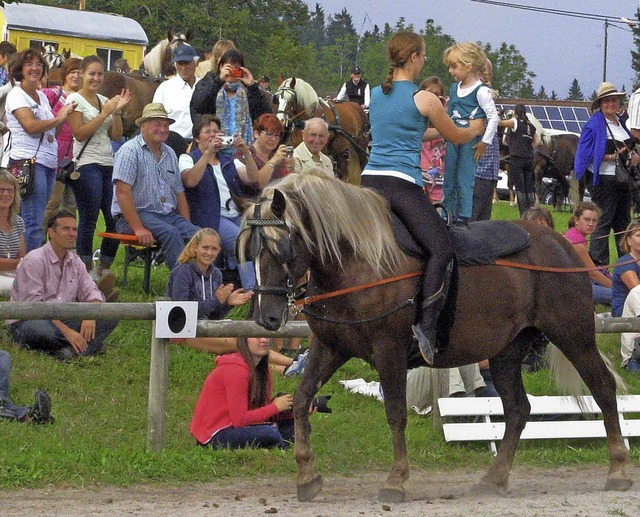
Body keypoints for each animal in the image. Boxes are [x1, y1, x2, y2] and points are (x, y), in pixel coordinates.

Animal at [242, 171, 632, 502]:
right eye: (250, 251)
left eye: (281, 247)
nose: (267, 316)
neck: (358, 263)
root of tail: (562, 246)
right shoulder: (330, 347)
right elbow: (301, 398)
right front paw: (307, 476)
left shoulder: (390, 352)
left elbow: (395, 412)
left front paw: (396, 479)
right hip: (507, 351)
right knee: (518, 409)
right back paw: (493, 478)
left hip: (574, 336)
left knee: (602, 388)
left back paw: (617, 468)